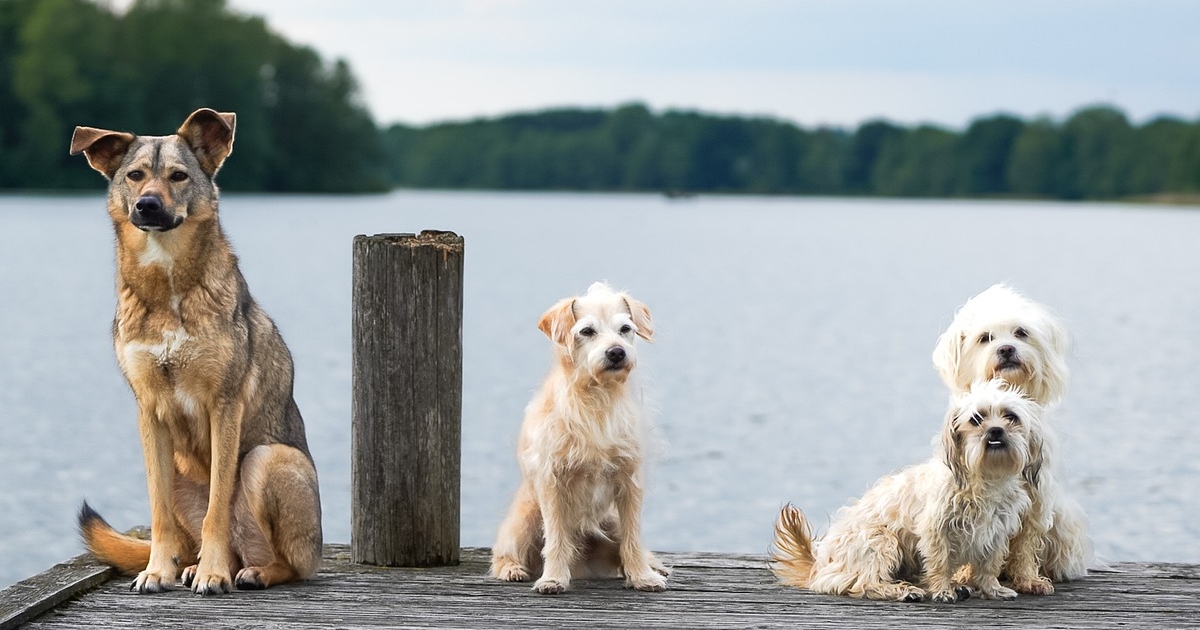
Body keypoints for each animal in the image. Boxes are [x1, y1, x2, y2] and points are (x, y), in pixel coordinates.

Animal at [70, 109, 321, 595]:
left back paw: (249, 572)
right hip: (181, 473)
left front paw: (213, 574)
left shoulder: (224, 405)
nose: (147, 206)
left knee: (288, 563)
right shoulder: (149, 410)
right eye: (135, 176)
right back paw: (190, 566)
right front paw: (157, 570)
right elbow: (159, 514)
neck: (167, 284)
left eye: (178, 176)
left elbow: (217, 510)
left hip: (268, 460)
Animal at [772, 381, 1046, 602]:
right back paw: (904, 591)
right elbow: (940, 561)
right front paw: (942, 590)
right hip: (881, 539)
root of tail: (820, 565)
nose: (996, 430)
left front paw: (992, 589)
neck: (985, 476)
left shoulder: (996, 531)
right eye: (977, 419)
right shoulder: (936, 529)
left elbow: (989, 565)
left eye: (1011, 417)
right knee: (862, 583)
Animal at [931, 282, 1094, 583]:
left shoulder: (1036, 496)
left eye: (1020, 333)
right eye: (985, 338)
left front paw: (1029, 579)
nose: (1006, 349)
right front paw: (964, 574)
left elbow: (1027, 543)